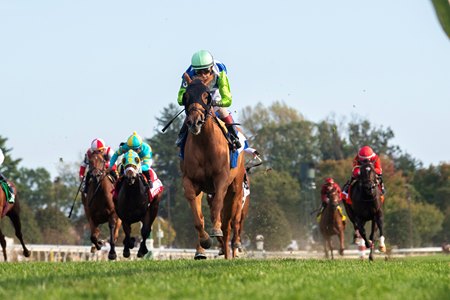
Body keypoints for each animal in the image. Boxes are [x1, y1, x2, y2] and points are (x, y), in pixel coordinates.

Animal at [180, 78, 246, 258]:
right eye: (186, 95)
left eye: (206, 95)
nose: (194, 122)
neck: (204, 143)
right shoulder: (190, 180)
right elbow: (198, 216)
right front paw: (204, 240)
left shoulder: (221, 178)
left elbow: (217, 205)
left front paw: (215, 229)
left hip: (236, 188)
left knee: (232, 222)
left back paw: (233, 249)